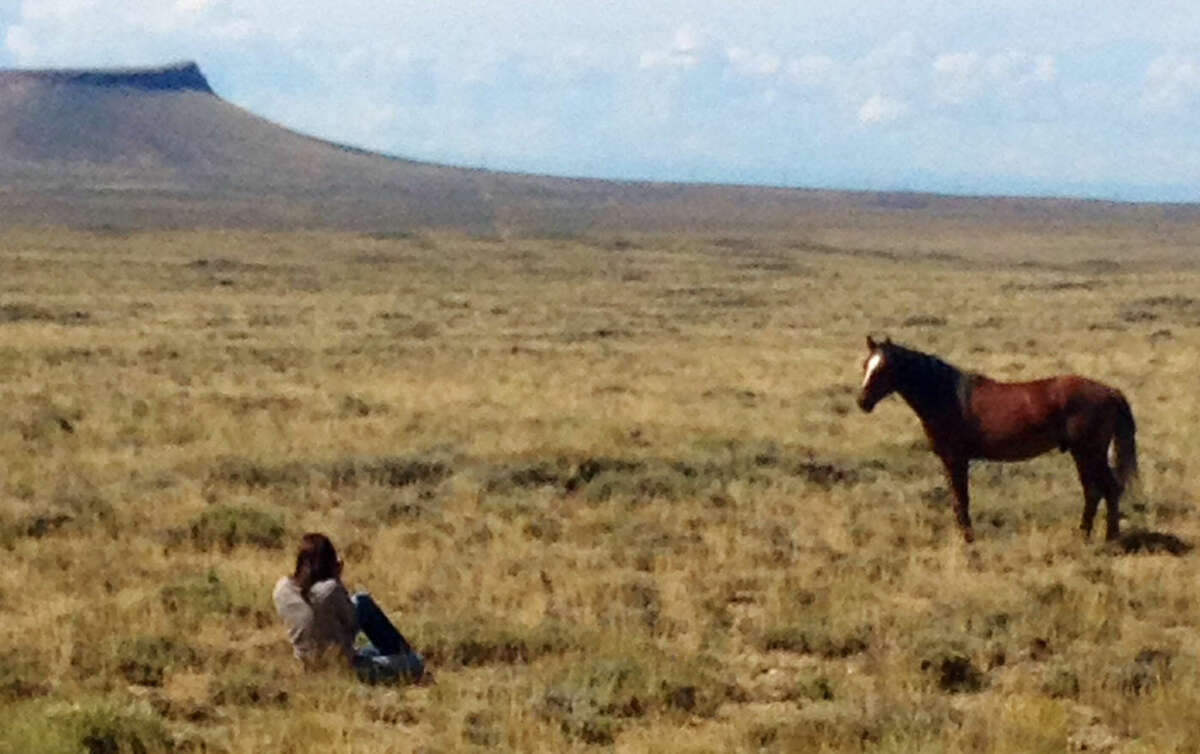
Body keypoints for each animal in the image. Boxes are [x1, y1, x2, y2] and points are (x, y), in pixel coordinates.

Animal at [857, 335, 1137, 544]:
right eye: (865, 365)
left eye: (884, 368)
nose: (862, 402)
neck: (947, 396)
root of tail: (1110, 392)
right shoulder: (950, 460)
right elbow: (956, 498)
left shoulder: (956, 459)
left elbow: (961, 498)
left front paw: (967, 539)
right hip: (1085, 453)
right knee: (1098, 491)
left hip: (1089, 452)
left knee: (1105, 489)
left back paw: (1106, 537)